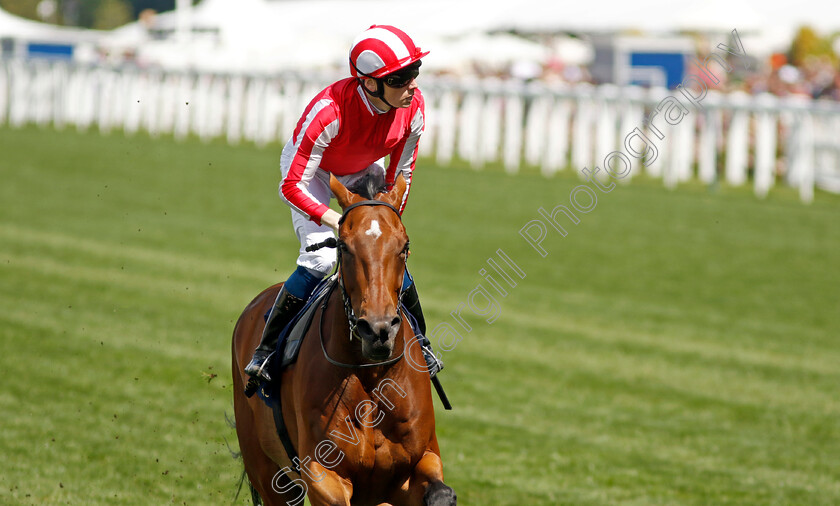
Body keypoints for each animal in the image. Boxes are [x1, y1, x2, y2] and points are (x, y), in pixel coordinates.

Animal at [230, 172, 456, 504]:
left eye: (404, 246)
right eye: (345, 247)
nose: (377, 329)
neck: (372, 375)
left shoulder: (421, 460)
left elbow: (441, 492)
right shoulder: (322, 473)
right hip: (268, 472)